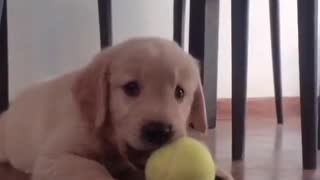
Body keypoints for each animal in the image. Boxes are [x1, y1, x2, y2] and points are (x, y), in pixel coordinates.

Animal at [0, 37, 232, 179]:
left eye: (180, 93)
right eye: (131, 88)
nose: (159, 131)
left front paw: (221, 172)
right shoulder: (54, 158)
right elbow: (92, 169)